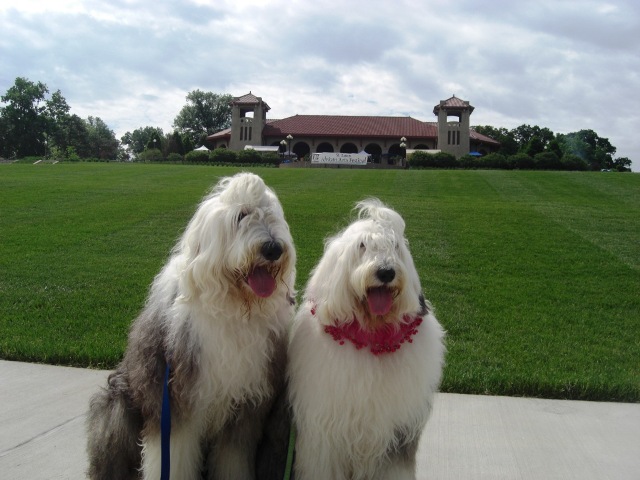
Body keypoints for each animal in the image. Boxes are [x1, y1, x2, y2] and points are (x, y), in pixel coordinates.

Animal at [86, 172, 296, 480]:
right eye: (241, 216)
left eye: (271, 215)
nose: (273, 248)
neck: (233, 306)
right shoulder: (173, 400)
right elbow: (173, 457)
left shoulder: (245, 405)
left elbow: (233, 456)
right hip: (118, 408)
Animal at [288, 198, 444, 480]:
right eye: (362, 245)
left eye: (395, 246)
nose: (386, 272)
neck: (372, 337)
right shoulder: (324, 432)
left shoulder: (396, 432)